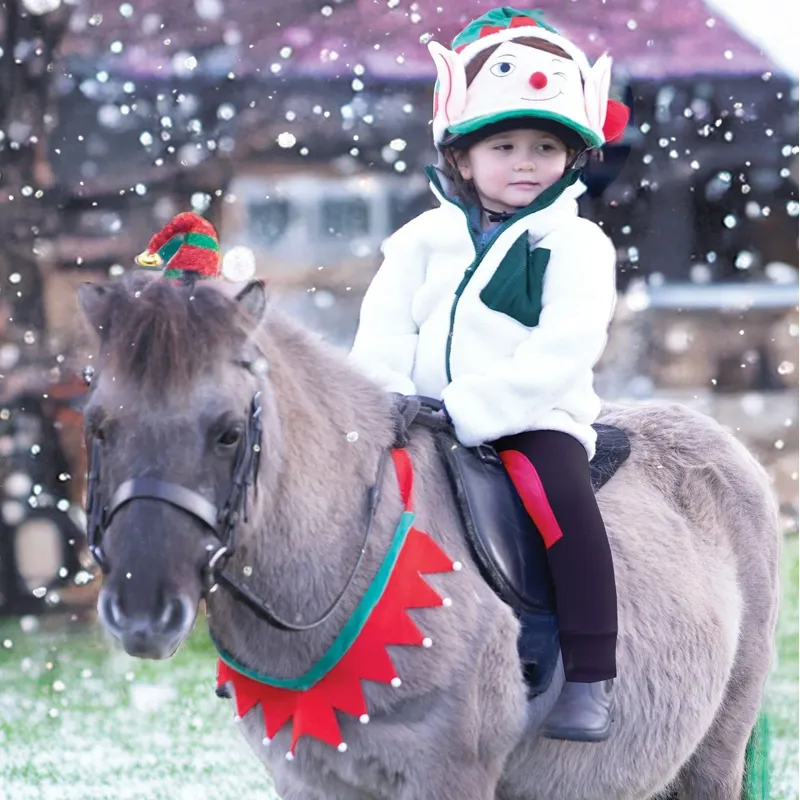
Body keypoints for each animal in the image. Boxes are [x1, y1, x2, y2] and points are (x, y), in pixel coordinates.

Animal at [77, 271, 780, 800]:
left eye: (227, 432)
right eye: (98, 426)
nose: (142, 613)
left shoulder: (447, 776)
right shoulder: (310, 782)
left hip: (714, 756)